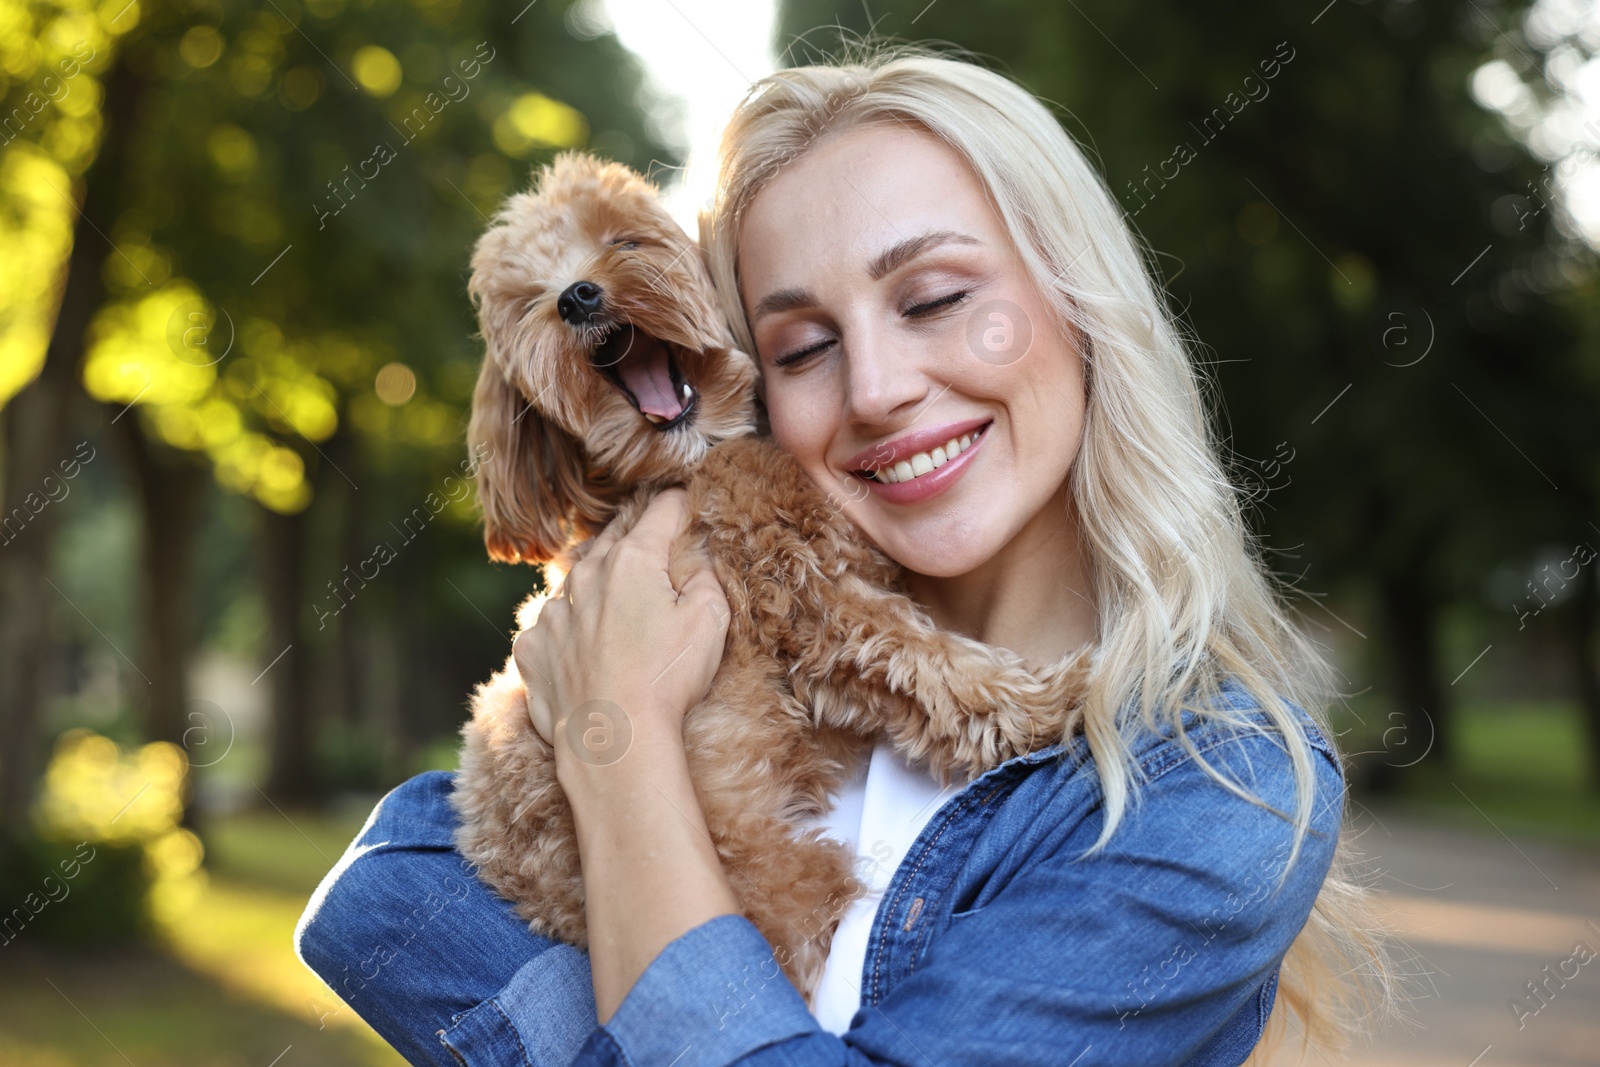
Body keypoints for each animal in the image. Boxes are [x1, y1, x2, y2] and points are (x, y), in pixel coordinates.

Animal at [457, 151, 1094, 1004]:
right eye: (530, 301)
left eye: (626, 241)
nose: (576, 296)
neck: (688, 462)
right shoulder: (804, 595)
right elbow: (930, 660)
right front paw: (1059, 696)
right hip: (782, 877)